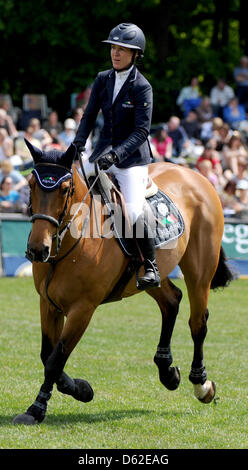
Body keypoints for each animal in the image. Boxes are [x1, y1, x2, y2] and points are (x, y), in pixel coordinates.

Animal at [13, 141, 233, 424]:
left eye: (64, 190)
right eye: (30, 185)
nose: (38, 249)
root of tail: (196, 175)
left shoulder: (82, 309)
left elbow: (55, 359)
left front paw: (38, 408)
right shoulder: (48, 304)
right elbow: (47, 355)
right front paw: (81, 389)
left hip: (200, 271)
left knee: (197, 322)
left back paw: (201, 385)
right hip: (150, 276)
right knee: (171, 301)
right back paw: (167, 372)